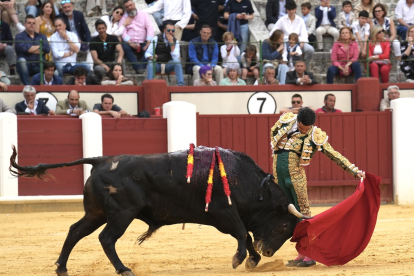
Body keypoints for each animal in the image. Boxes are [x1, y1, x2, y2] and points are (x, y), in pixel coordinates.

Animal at [8, 146, 304, 274]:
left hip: (96, 213)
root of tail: (101, 160)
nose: (270, 252)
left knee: (74, 231)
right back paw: (124, 269)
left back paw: (61, 267)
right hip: (121, 214)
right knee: (106, 239)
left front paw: (253, 259)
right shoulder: (225, 211)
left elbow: (246, 235)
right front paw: (240, 259)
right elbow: (243, 233)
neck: (246, 181)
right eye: (283, 226)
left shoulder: (225, 218)